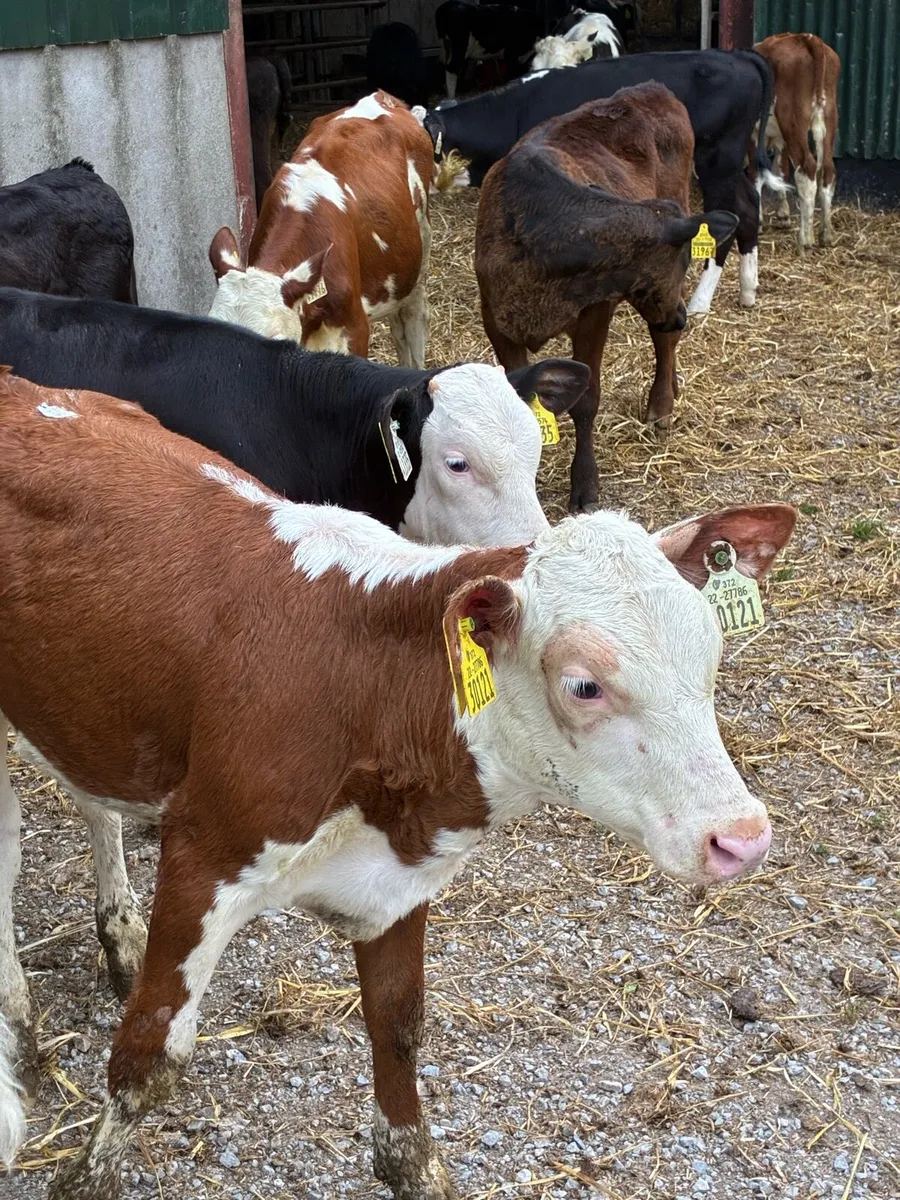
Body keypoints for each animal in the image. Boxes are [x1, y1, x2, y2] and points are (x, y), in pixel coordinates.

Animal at [0, 369, 796, 1193]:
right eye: (583, 685)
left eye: (711, 648)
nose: (740, 836)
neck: (366, 685)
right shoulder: (204, 855)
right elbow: (149, 1056)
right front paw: (81, 1179)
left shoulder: (400, 878)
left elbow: (398, 1025)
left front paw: (415, 1167)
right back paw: (18, 1018)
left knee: (91, 802)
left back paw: (115, 935)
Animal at [417, 49, 787, 314]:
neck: (515, 110)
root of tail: (737, 55)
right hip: (729, 165)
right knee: (748, 207)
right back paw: (748, 290)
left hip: (716, 161)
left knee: (726, 216)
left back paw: (700, 302)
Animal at [476, 83, 738, 512]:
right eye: (684, 259)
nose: (682, 315)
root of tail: (653, 89)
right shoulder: (497, 320)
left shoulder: (595, 315)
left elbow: (586, 400)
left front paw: (585, 485)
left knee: (663, 339)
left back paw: (661, 404)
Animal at [753, 33, 840, 250]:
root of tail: (807, 38)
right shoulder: (779, 139)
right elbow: (779, 169)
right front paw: (783, 214)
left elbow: (757, 174)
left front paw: (757, 221)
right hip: (828, 116)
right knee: (827, 170)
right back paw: (826, 235)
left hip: (792, 121)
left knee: (807, 169)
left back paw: (805, 240)